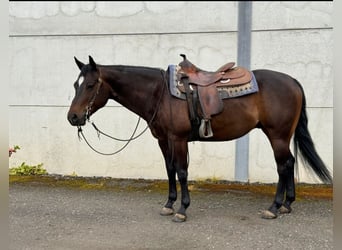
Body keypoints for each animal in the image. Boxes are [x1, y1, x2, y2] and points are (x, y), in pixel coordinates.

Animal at [67, 55, 332, 222]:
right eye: (75, 85)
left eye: (90, 85)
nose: (73, 117)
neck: (160, 93)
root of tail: (293, 82)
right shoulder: (163, 140)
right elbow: (170, 170)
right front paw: (169, 204)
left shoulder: (178, 139)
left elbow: (182, 171)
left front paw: (182, 210)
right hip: (282, 136)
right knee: (289, 163)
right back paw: (287, 204)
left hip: (277, 135)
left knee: (283, 165)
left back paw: (274, 207)